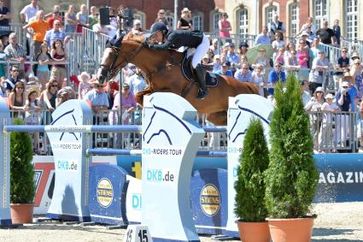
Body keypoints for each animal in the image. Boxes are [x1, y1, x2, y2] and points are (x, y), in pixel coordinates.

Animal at [98, 33, 260, 125]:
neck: (160, 65)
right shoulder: (151, 88)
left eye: (111, 54)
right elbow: (139, 96)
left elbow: (150, 96)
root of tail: (246, 85)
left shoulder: (172, 91)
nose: (100, 77)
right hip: (214, 115)